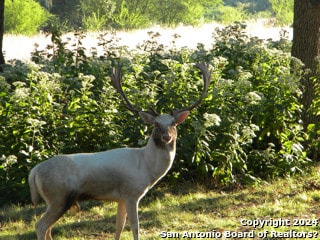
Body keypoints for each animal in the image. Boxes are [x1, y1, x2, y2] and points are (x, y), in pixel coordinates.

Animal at [28, 61, 211, 239]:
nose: (166, 137)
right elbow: (135, 227)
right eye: (156, 125)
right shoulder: (131, 192)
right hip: (59, 195)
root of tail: (34, 172)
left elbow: (119, 227)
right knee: (40, 226)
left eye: (173, 124)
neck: (146, 168)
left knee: (48, 229)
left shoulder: (121, 198)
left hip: (54, 199)